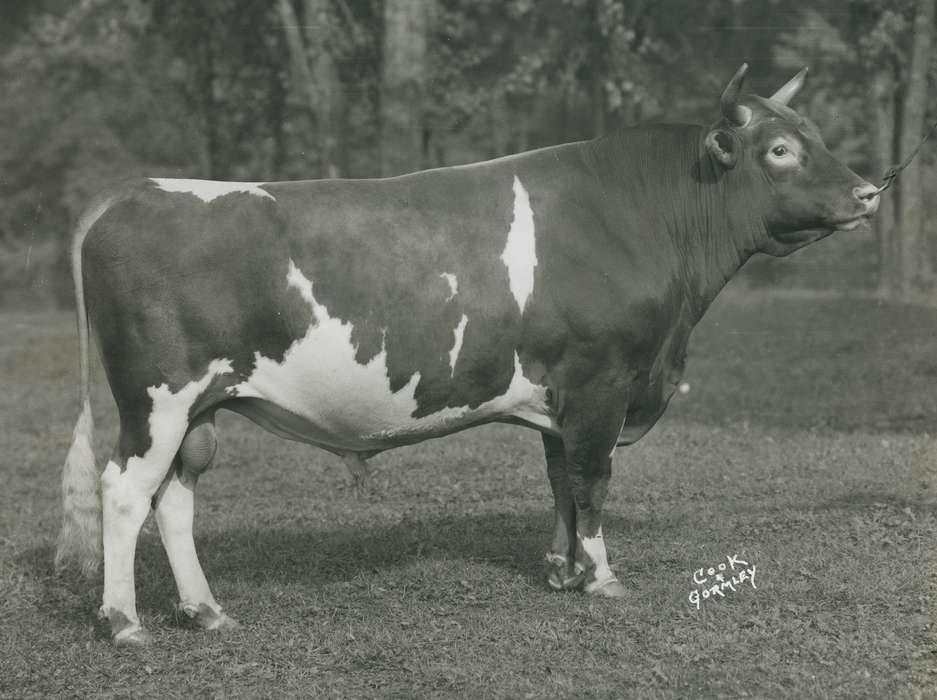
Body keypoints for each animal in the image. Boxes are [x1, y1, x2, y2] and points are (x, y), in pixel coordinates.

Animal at [56, 65, 879, 645]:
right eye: (779, 150)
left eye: (815, 136)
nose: (869, 192)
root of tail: (131, 192)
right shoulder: (601, 381)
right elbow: (591, 481)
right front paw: (603, 578)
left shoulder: (561, 391)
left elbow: (559, 482)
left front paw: (561, 572)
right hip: (155, 397)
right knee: (125, 491)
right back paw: (123, 622)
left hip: (201, 404)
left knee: (175, 496)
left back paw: (204, 610)